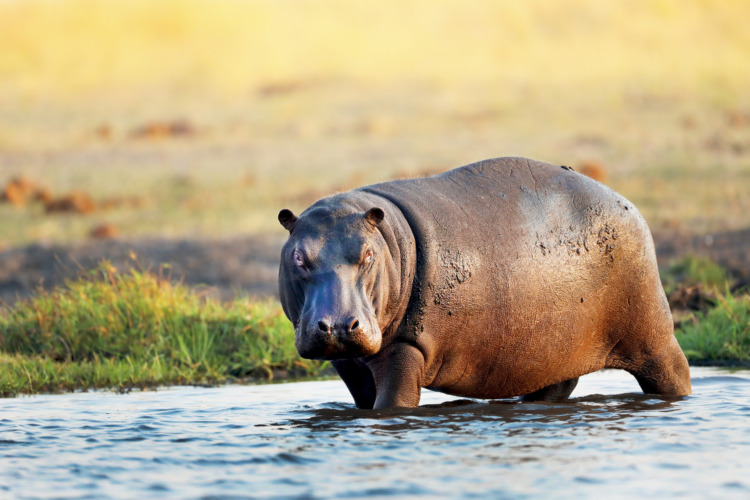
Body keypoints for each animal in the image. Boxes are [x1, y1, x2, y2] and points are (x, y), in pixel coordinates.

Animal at [278, 158, 692, 408]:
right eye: (298, 257)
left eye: (367, 255)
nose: (337, 325)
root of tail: (626, 202)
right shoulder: (348, 362)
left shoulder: (406, 347)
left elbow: (393, 404)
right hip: (555, 348)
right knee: (557, 385)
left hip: (651, 334)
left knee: (674, 371)